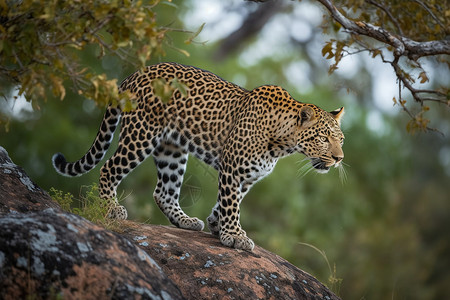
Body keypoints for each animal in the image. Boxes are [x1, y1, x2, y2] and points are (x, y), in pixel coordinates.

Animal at [51, 62, 344, 251]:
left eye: (340, 140)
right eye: (323, 138)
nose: (339, 158)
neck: (282, 142)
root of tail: (134, 75)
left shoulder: (248, 176)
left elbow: (229, 202)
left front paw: (217, 224)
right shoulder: (233, 168)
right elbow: (231, 203)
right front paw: (234, 235)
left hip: (172, 149)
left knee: (163, 191)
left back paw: (186, 221)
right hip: (141, 135)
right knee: (109, 168)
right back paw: (110, 208)